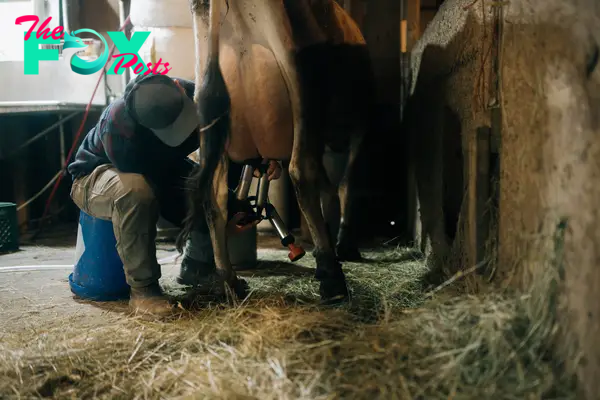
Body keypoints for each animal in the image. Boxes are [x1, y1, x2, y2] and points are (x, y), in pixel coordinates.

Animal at [175, 0, 376, 304]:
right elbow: (344, 185)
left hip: (208, 106)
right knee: (301, 172)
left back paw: (230, 282)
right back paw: (332, 278)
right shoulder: (358, 126)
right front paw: (342, 246)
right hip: (299, 78)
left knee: (214, 194)